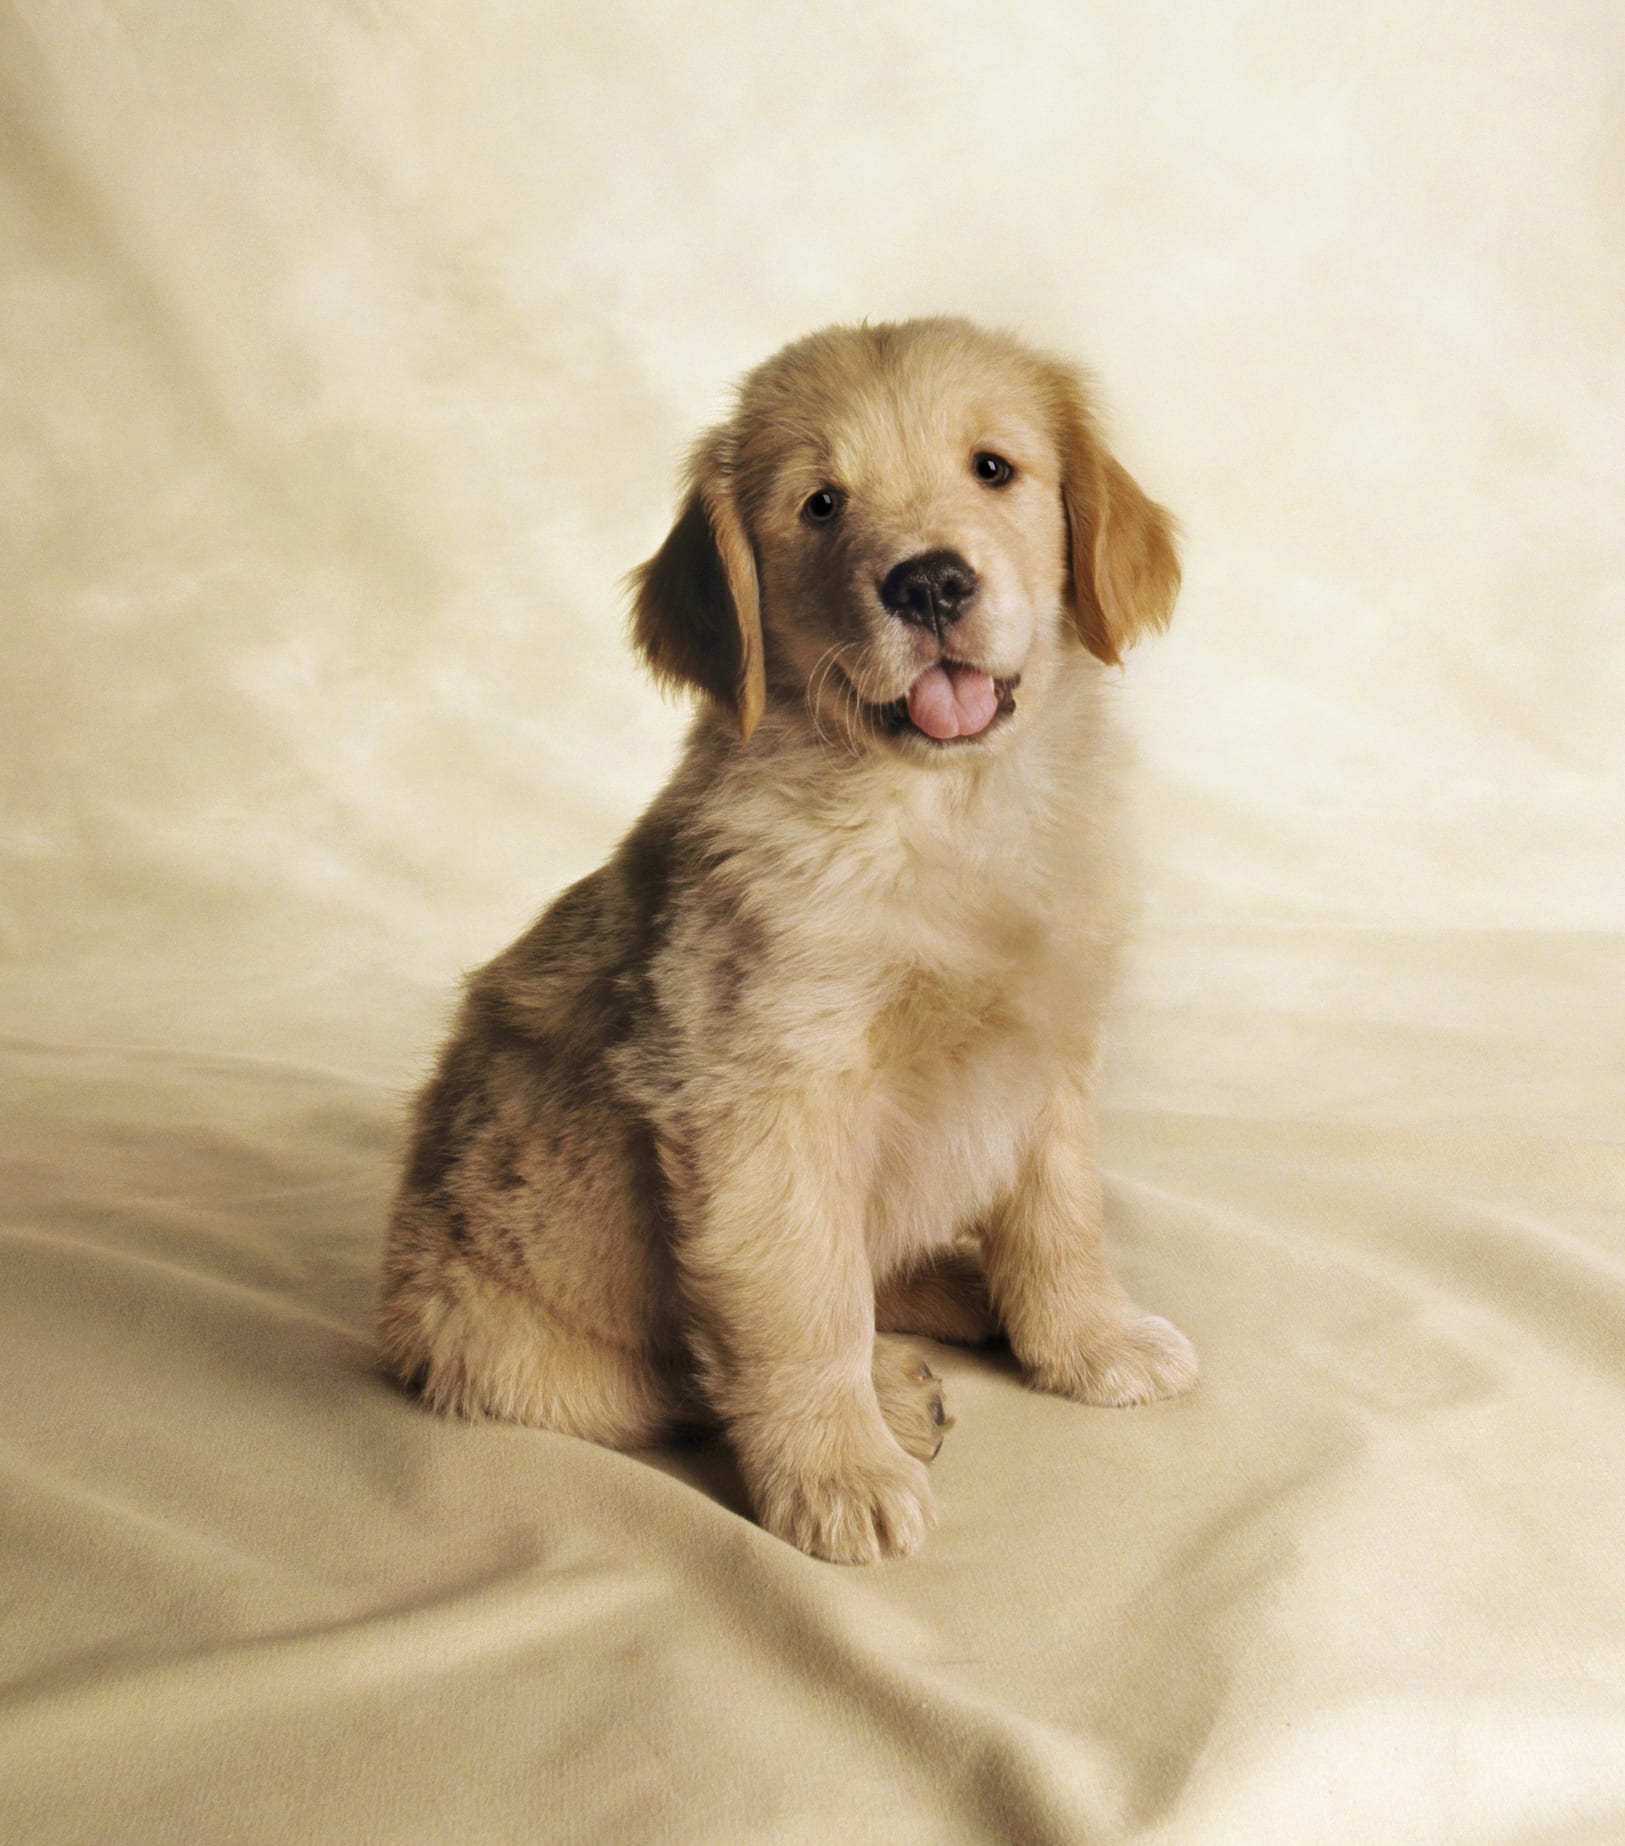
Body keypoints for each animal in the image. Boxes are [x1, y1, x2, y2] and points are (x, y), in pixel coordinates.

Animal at [378, 317, 1196, 1558]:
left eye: (992, 468)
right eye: (819, 504)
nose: (928, 580)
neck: (941, 811)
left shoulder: (1047, 1045)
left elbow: (1060, 1214)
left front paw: (1087, 1340)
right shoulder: (757, 1090)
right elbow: (798, 1301)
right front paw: (838, 1471)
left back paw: (955, 1295)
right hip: (501, 1339)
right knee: (680, 1374)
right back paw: (892, 1389)